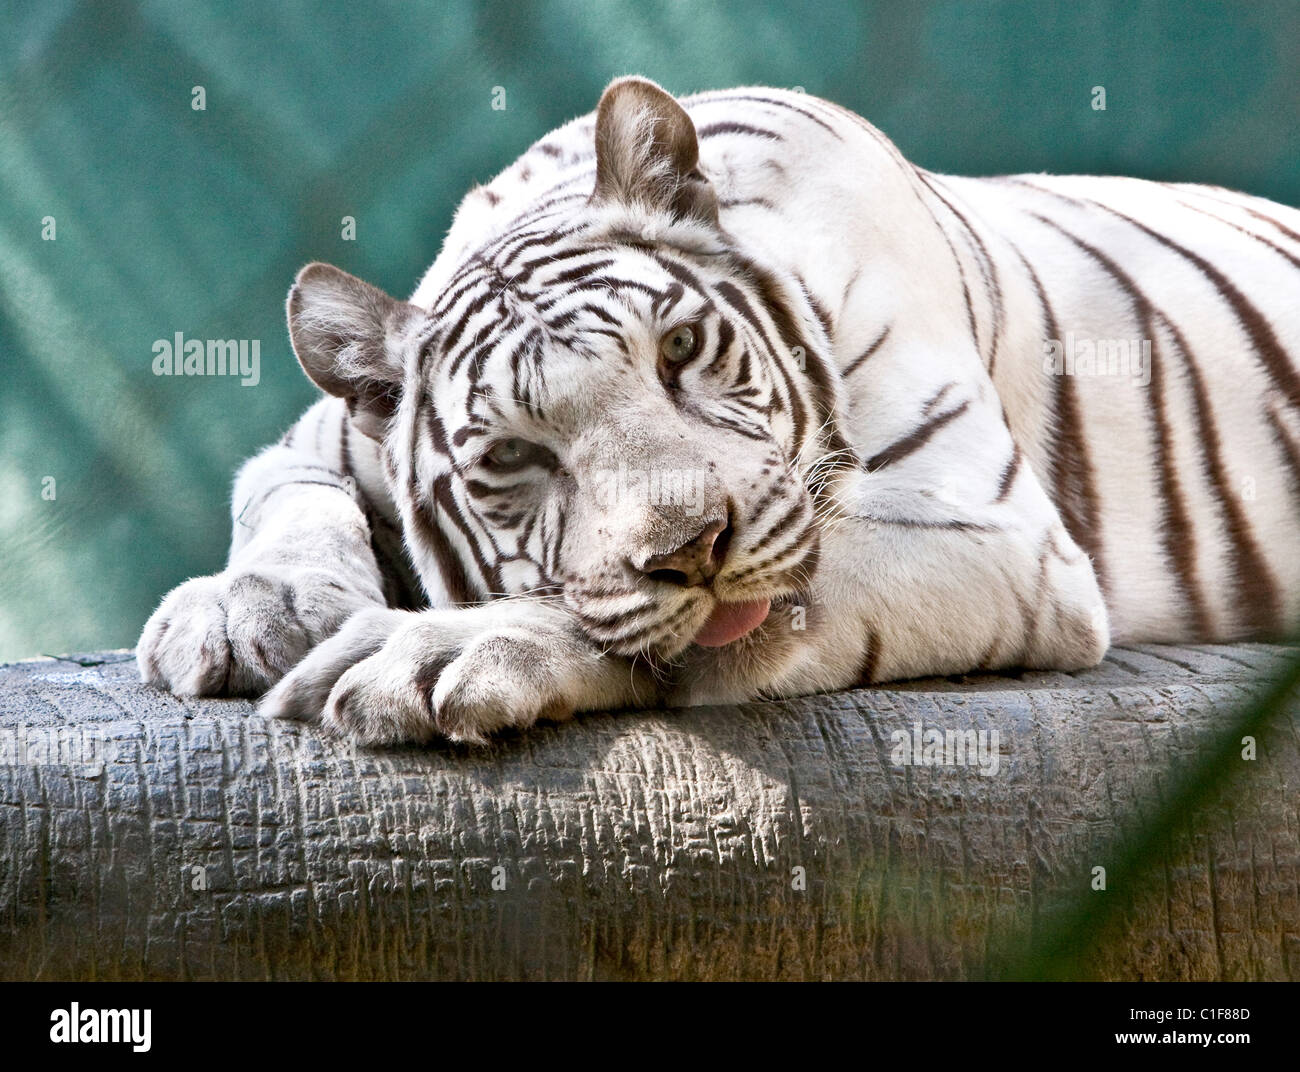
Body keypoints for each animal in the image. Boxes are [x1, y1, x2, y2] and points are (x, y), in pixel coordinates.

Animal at [137, 77, 1300, 743]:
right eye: (513, 458)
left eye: (682, 350)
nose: (692, 547)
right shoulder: (316, 440)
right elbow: (287, 496)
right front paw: (241, 610)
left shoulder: (997, 529)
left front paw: (425, 653)